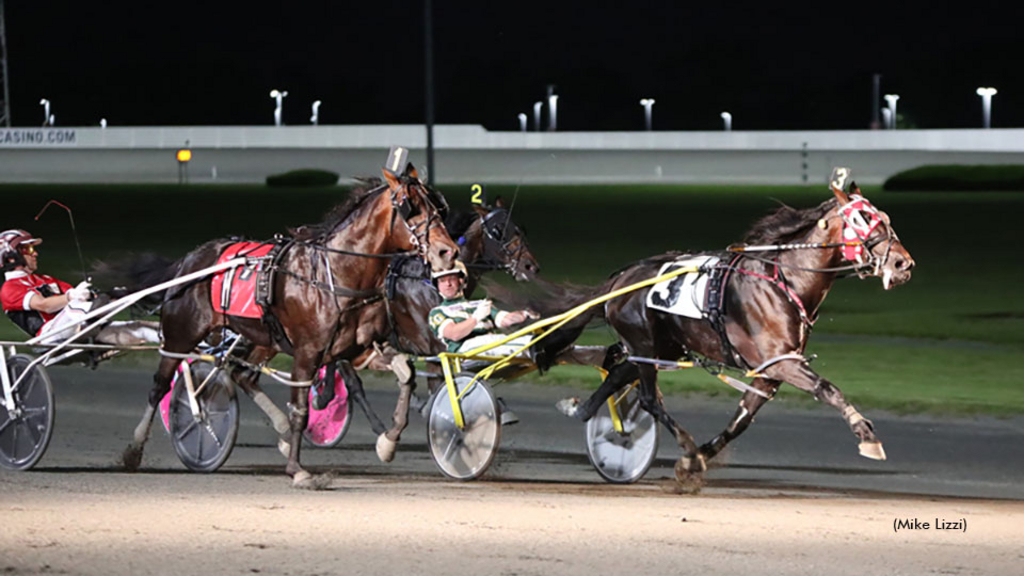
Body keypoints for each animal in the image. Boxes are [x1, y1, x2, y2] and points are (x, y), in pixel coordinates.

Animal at [117, 163, 458, 481]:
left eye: (438, 205)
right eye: (411, 206)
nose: (448, 251)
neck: (338, 272)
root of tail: (190, 259)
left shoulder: (358, 348)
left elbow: (406, 374)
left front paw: (388, 441)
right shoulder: (308, 353)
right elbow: (302, 409)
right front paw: (297, 469)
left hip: (263, 338)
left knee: (242, 374)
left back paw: (279, 429)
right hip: (181, 334)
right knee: (160, 386)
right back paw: (134, 450)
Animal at [548, 181, 917, 481]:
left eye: (884, 218)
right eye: (864, 219)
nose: (904, 264)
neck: (786, 280)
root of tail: (621, 278)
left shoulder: (770, 371)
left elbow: (740, 420)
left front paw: (697, 460)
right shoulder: (783, 362)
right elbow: (828, 389)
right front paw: (867, 435)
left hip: (660, 348)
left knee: (616, 375)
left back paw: (583, 410)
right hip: (645, 343)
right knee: (648, 398)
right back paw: (682, 442)